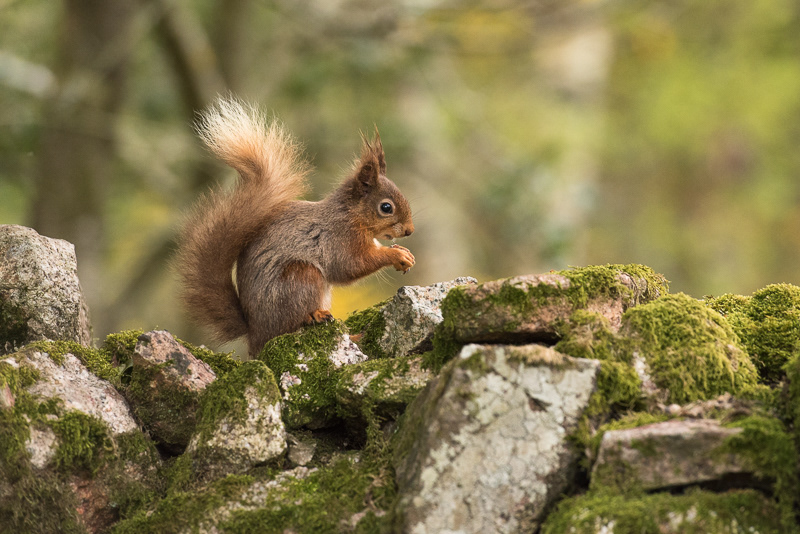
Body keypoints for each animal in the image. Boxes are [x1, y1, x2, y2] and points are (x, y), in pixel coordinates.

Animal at [176, 97, 415, 357]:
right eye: (386, 207)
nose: (410, 231)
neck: (351, 216)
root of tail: (255, 335)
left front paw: (404, 254)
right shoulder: (339, 239)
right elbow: (350, 266)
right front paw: (395, 255)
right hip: (301, 277)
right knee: (292, 326)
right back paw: (317, 318)